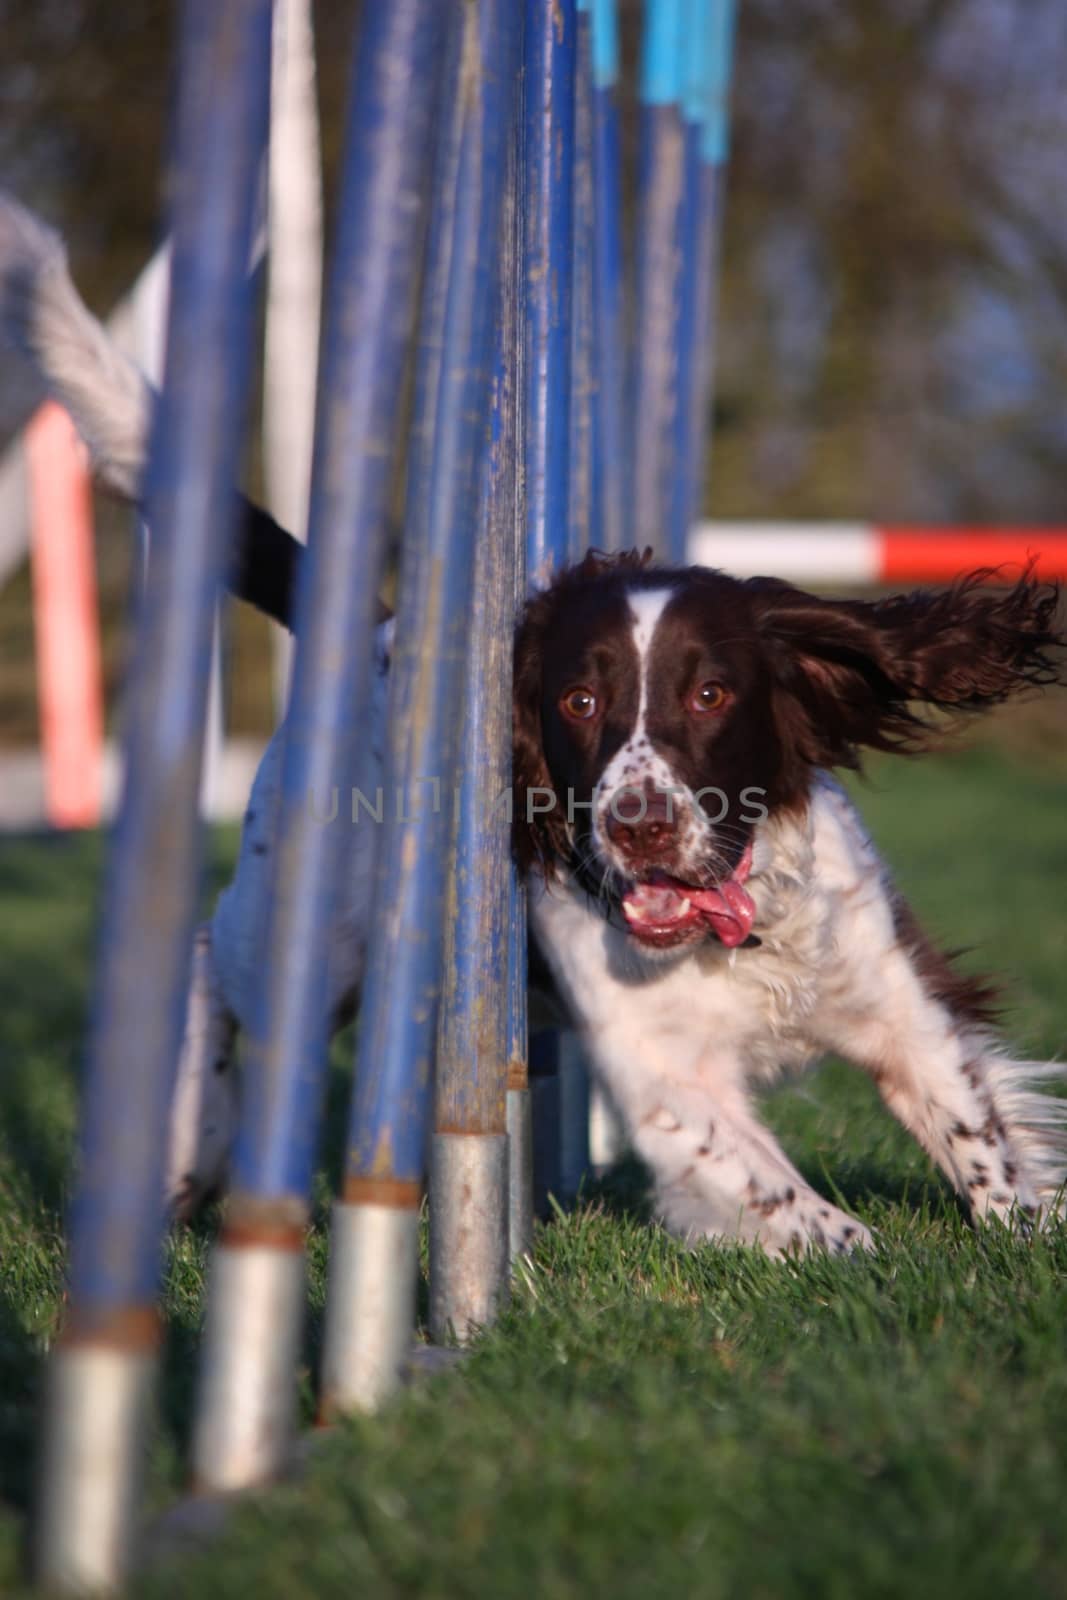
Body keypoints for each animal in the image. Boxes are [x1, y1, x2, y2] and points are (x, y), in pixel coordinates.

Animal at [8, 193, 1067, 1248]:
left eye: (710, 693)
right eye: (578, 701)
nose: (638, 826)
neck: (726, 928)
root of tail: (384, 637)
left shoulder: (897, 1000)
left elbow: (974, 1130)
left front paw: (1024, 1229)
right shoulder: (667, 1081)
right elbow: (789, 1201)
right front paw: (850, 1247)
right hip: (312, 930)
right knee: (207, 965)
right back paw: (186, 1152)